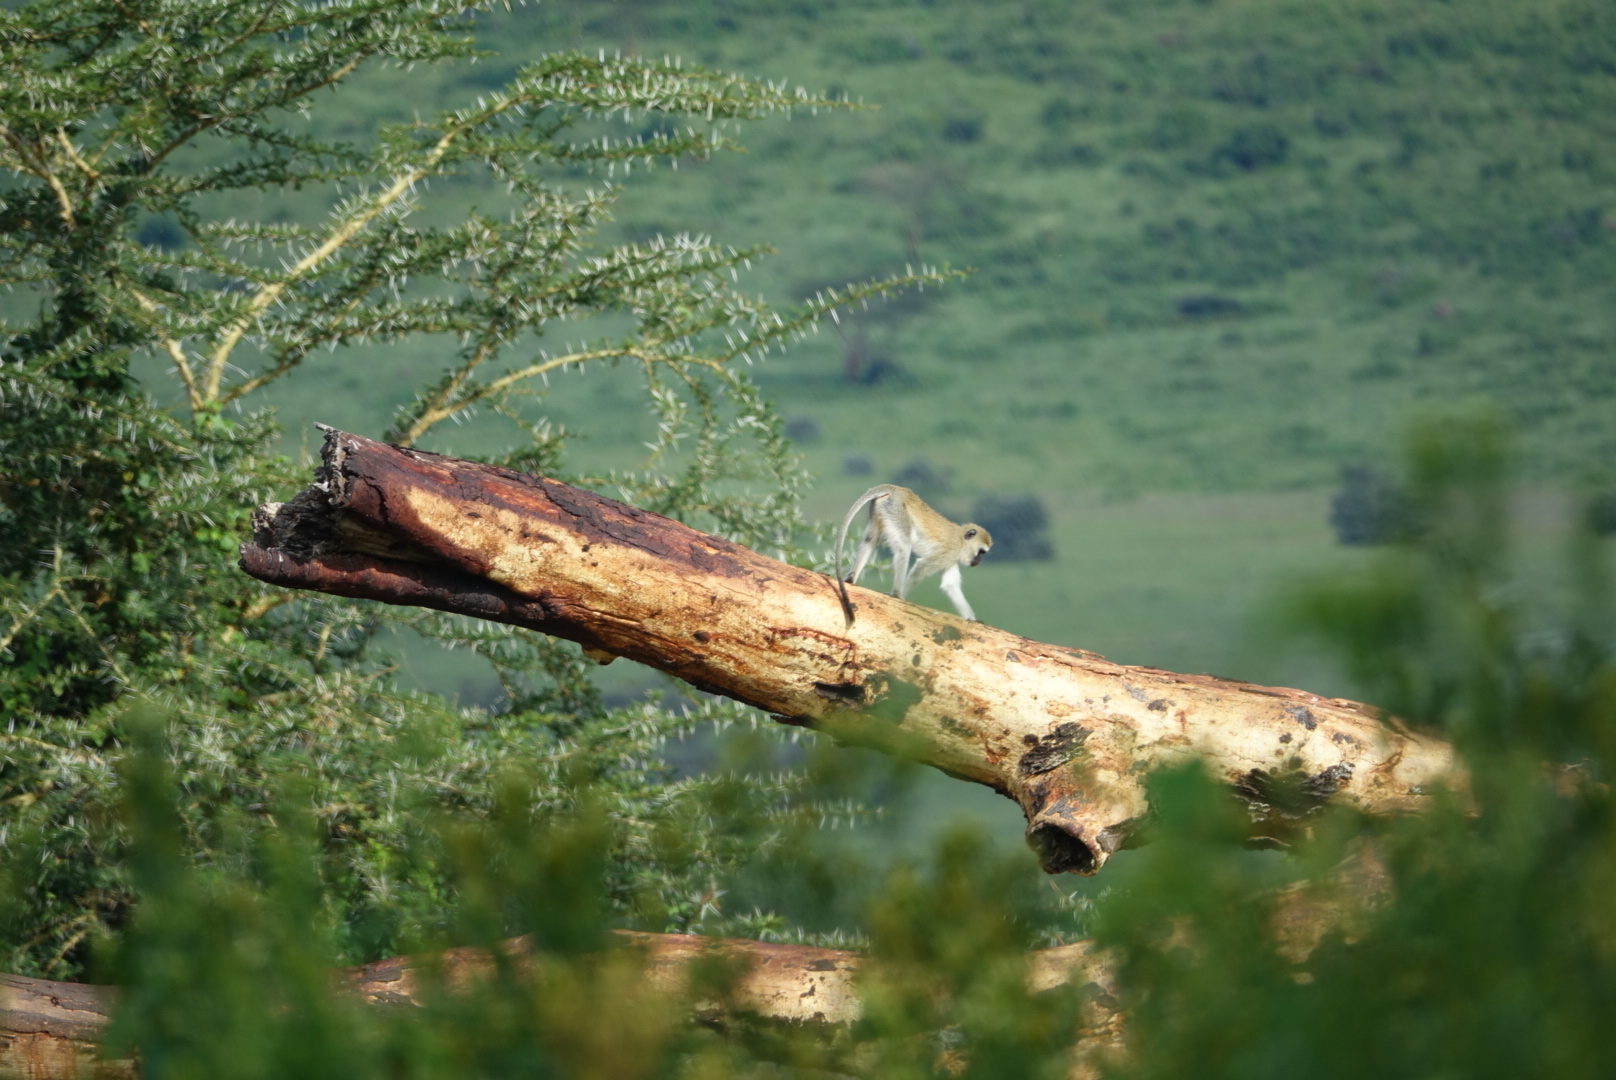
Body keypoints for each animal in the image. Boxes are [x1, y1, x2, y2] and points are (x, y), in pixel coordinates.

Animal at [840, 481, 988, 624]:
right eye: (981, 552)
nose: (980, 561)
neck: (961, 541)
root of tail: (898, 489)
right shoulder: (949, 552)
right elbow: (921, 567)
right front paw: (902, 597)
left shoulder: (951, 560)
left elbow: (950, 585)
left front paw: (972, 619)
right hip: (897, 511)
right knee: (904, 546)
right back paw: (896, 594)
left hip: (881, 509)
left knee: (870, 539)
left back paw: (851, 579)